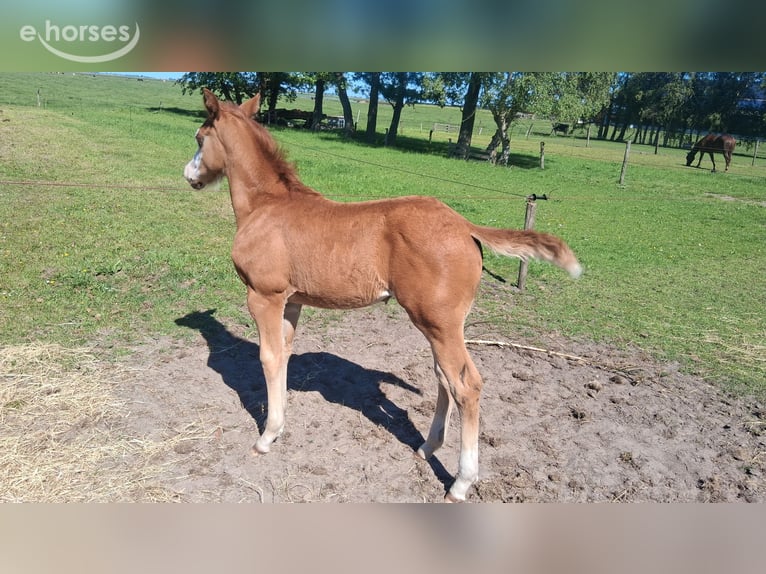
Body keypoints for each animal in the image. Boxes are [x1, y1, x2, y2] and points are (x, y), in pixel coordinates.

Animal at [183, 89, 582, 502]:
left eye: (199, 137)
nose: (189, 175)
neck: (265, 206)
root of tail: (465, 226)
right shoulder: (291, 301)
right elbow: (284, 356)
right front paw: (279, 425)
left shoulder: (264, 296)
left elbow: (268, 356)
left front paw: (266, 436)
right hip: (443, 325)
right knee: (444, 378)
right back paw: (426, 447)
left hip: (438, 323)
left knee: (466, 385)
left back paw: (460, 483)